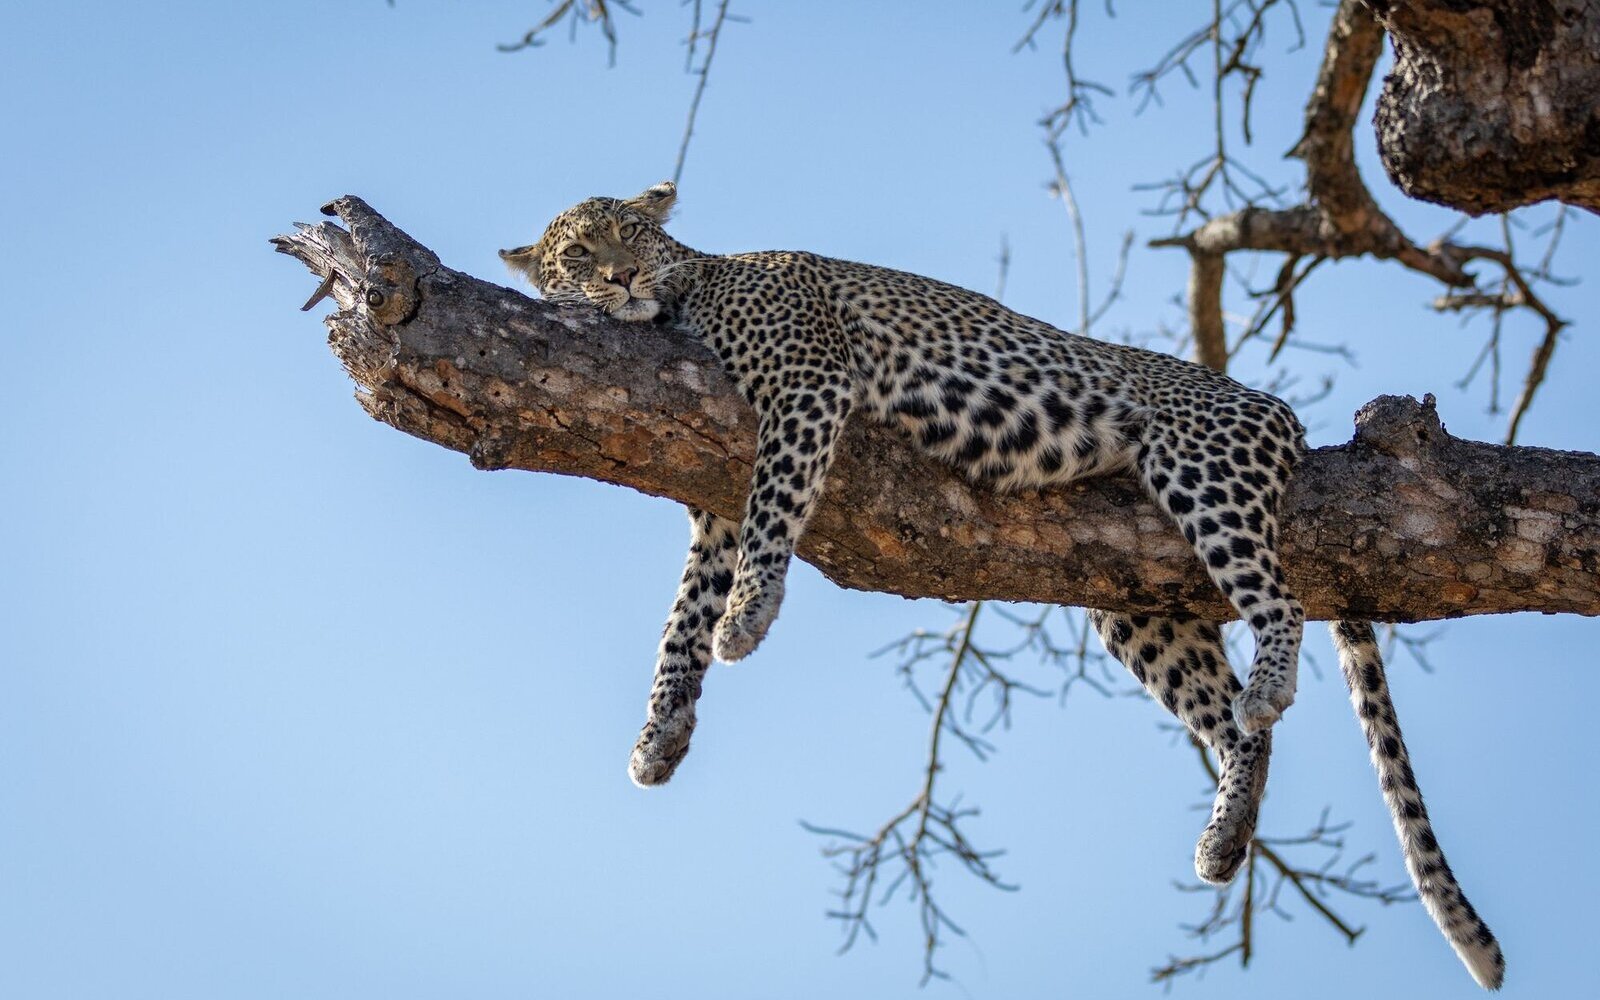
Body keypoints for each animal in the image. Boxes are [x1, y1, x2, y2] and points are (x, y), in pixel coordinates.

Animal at [500, 182, 1504, 989]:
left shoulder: (805, 385)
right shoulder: (710, 498)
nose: (623, 277)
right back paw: (1224, 838)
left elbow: (776, 503)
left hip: (1202, 469)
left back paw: (1269, 688)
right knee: (1233, 728)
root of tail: (1281, 414)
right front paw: (659, 736)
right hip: (1139, 609)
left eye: (634, 233)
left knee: (1280, 606)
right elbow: (679, 618)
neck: (686, 297)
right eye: (579, 256)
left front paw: (748, 617)